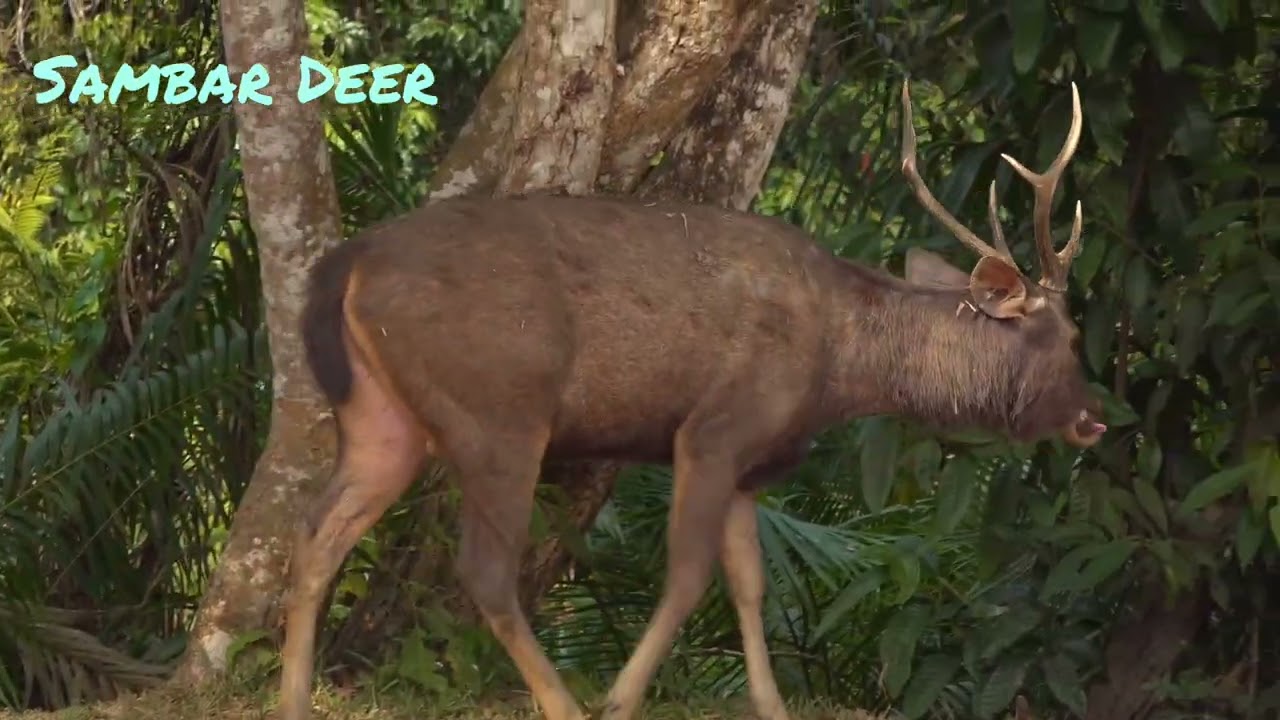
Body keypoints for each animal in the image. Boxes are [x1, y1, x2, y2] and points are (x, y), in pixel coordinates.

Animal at [278, 79, 1105, 720]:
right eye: (1069, 336)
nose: (1093, 419)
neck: (838, 365)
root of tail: (346, 265)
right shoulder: (715, 430)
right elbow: (686, 575)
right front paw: (620, 698)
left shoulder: (749, 465)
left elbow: (749, 582)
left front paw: (770, 704)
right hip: (498, 410)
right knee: (483, 569)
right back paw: (564, 704)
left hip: (381, 417)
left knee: (316, 531)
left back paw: (291, 699)